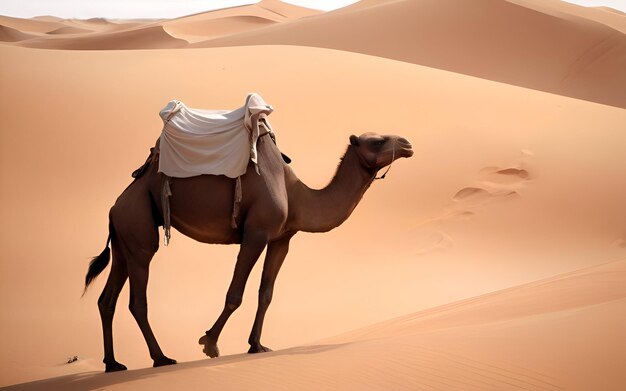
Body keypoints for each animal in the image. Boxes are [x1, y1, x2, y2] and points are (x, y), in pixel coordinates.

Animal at [84, 132, 414, 374]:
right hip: (139, 228)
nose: (407, 144)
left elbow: (265, 293)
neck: (297, 195)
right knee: (137, 301)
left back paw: (113, 364)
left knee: (106, 299)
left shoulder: (282, 239)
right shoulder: (255, 234)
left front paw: (257, 345)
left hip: (124, 239)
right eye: (377, 141)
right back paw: (161, 358)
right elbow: (236, 293)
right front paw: (210, 343)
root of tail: (114, 206)